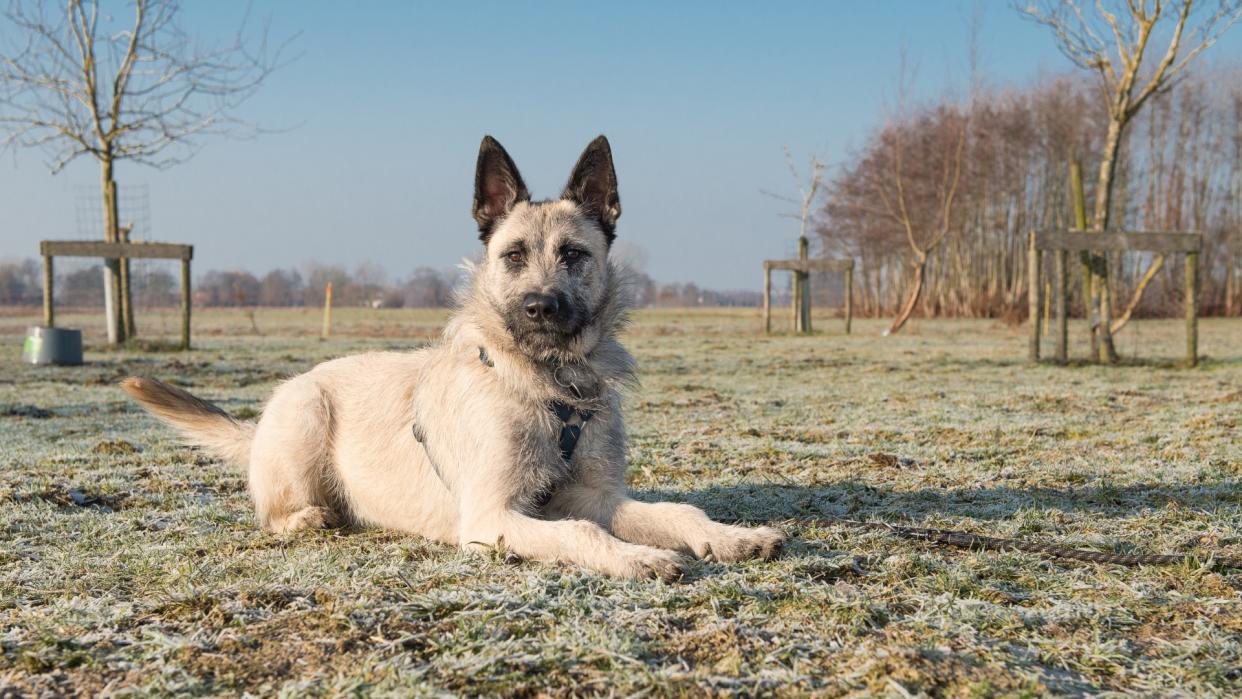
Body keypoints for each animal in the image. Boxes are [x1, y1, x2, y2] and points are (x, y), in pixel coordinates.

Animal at [126, 135, 784, 581]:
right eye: (513, 255)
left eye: (573, 254)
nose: (541, 309)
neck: (550, 383)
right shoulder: (493, 516)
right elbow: (580, 533)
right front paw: (638, 556)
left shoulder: (595, 496)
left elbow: (678, 510)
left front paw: (730, 536)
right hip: (307, 414)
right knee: (275, 511)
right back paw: (311, 517)